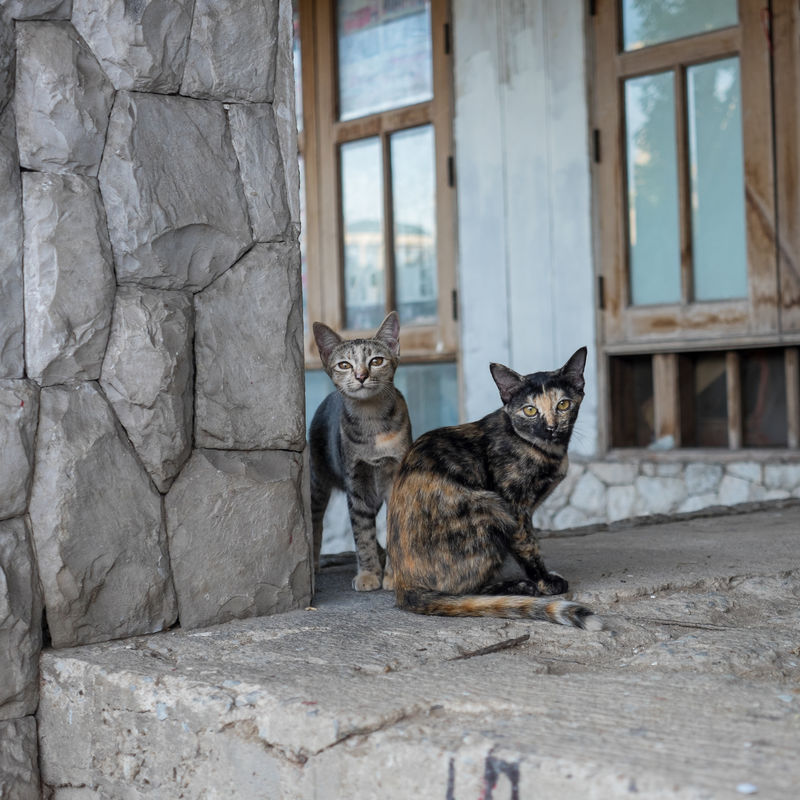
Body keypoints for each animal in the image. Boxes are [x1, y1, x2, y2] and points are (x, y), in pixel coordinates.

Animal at [310, 310, 412, 592]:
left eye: (376, 361)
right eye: (344, 365)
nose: (361, 375)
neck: (372, 422)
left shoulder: (394, 478)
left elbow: (390, 531)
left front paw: (390, 575)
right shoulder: (355, 481)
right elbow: (361, 532)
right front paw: (368, 574)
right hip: (318, 479)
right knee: (315, 520)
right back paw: (313, 564)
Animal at [388, 346, 600, 628]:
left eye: (563, 404)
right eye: (530, 410)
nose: (550, 427)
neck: (547, 451)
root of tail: (403, 585)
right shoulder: (515, 507)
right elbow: (528, 545)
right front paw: (545, 581)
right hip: (490, 507)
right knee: (462, 592)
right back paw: (519, 587)